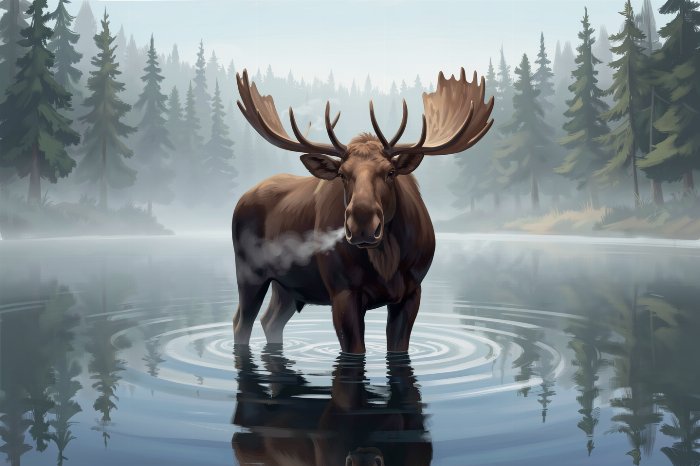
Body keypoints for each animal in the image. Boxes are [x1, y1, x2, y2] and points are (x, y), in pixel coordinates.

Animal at [232, 68, 494, 353]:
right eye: (342, 174)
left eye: (390, 172)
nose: (362, 226)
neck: (387, 261)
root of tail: (242, 198)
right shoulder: (343, 292)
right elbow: (355, 350)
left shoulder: (412, 292)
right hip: (249, 273)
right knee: (241, 322)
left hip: (289, 286)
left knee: (270, 320)